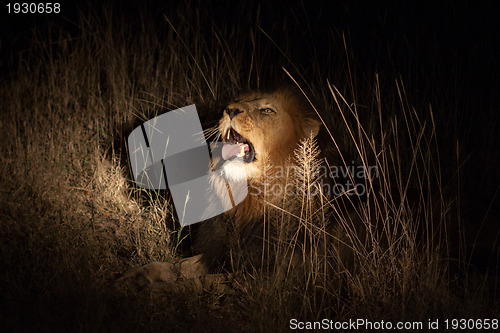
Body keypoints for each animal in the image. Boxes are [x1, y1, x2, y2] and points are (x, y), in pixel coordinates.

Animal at [118, 87, 342, 290]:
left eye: (267, 110)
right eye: (239, 101)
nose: (230, 110)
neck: (252, 199)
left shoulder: (270, 278)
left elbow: (198, 283)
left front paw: (156, 292)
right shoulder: (219, 250)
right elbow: (175, 266)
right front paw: (135, 276)